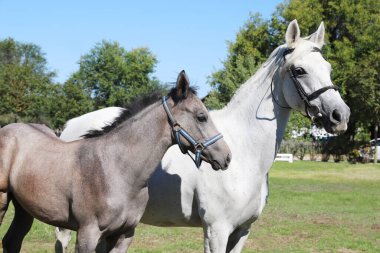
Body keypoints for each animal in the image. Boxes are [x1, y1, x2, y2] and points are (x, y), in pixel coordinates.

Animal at [55, 20, 348, 253]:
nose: (340, 115)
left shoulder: (242, 232)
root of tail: (70, 126)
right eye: (299, 70)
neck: (245, 155)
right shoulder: (217, 230)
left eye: (328, 67)